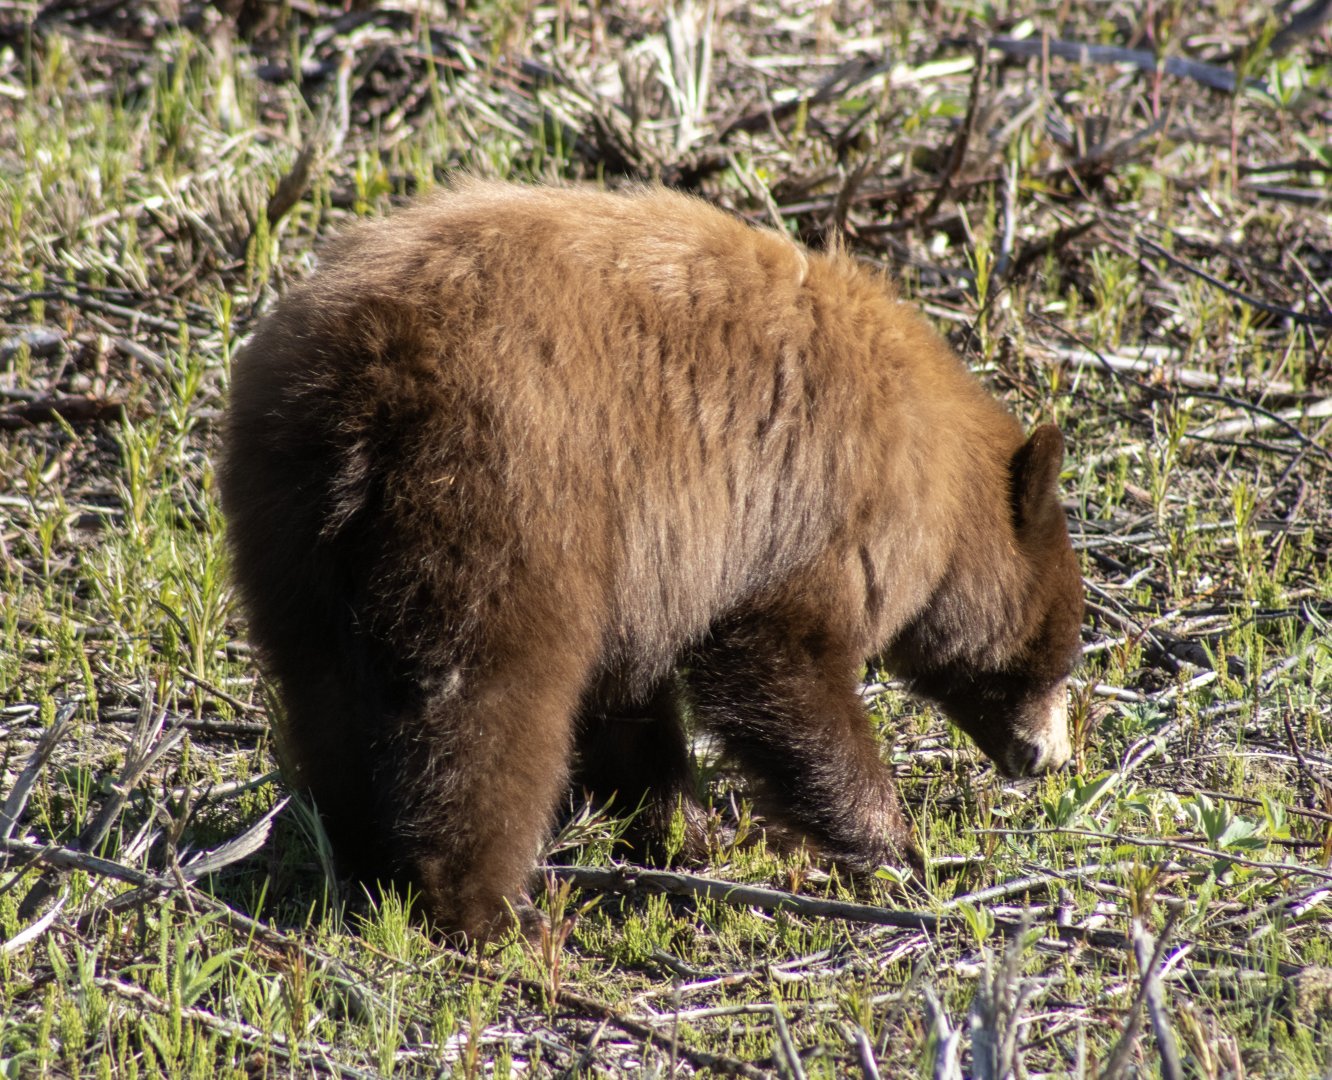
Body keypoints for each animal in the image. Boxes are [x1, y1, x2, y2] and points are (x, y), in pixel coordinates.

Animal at [220, 180, 1084, 942]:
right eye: (1059, 652)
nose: (1048, 759)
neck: (935, 471)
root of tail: (372, 378)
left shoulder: (643, 564)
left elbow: (629, 701)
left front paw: (684, 833)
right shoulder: (816, 508)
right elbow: (777, 660)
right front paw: (893, 847)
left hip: (293, 514)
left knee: (328, 693)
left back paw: (361, 862)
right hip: (506, 495)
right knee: (487, 702)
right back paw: (490, 910)